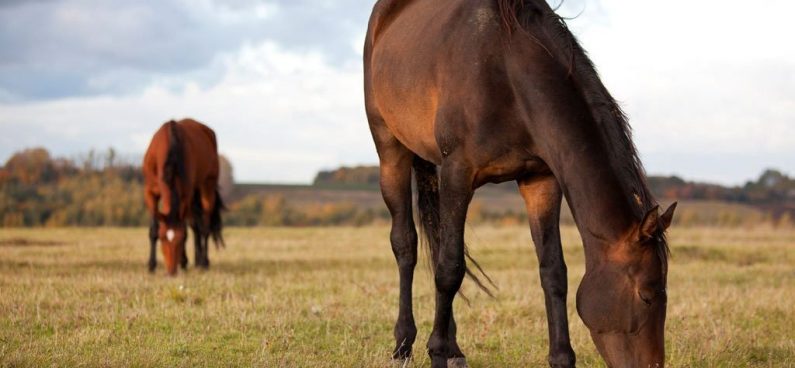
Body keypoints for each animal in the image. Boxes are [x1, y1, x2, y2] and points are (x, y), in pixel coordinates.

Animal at [141, 118, 224, 276]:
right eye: (162, 237)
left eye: (180, 240)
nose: (171, 272)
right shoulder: (150, 192)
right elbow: (153, 230)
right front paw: (151, 265)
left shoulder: (186, 194)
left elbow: (186, 227)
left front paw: (184, 261)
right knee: (196, 226)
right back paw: (197, 261)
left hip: (207, 186)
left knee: (204, 227)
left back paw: (203, 262)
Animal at [366, 0, 676, 368]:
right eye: (646, 296)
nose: (654, 365)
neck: (507, 74)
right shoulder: (457, 173)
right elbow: (450, 269)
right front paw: (437, 352)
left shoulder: (540, 181)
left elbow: (553, 270)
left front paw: (561, 358)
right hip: (391, 149)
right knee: (406, 245)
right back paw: (404, 345)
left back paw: (453, 348)